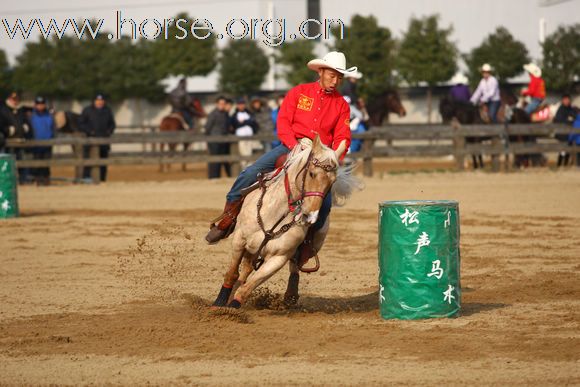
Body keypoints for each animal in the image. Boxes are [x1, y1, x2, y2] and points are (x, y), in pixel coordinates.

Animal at [211, 136, 360, 310]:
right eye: (311, 174)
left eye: (332, 181)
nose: (310, 215)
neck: (275, 213)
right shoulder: (239, 240)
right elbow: (232, 273)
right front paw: (220, 303)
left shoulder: (279, 257)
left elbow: (249, 287)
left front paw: (233, 307)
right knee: (246, 269)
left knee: (293, 267)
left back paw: (291, 296)